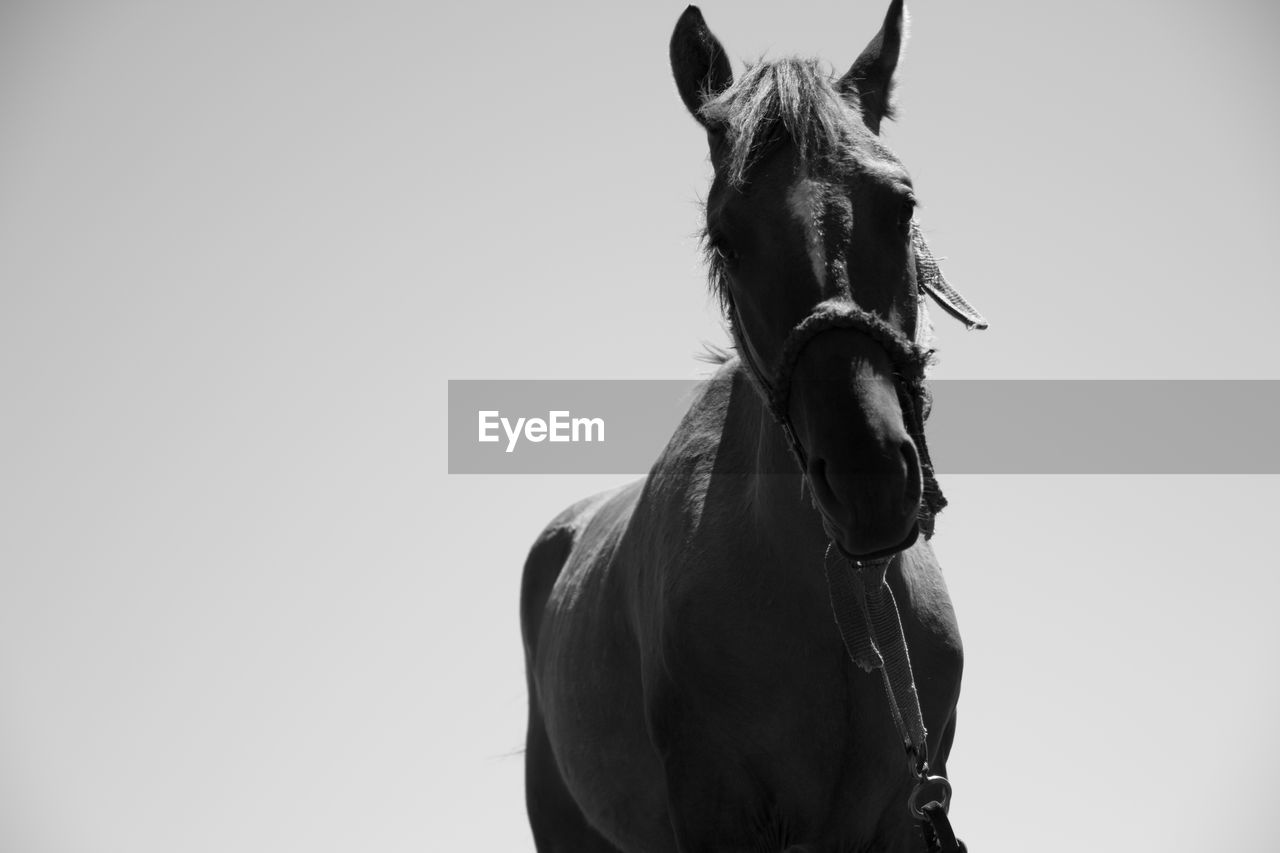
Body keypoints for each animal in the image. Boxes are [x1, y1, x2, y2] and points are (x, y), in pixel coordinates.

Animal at [519, 3, 988, 845]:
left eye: (902, 205)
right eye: (725, 237)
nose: (868, 478)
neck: (841, 606)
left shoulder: (905, 813)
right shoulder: (716, 808)